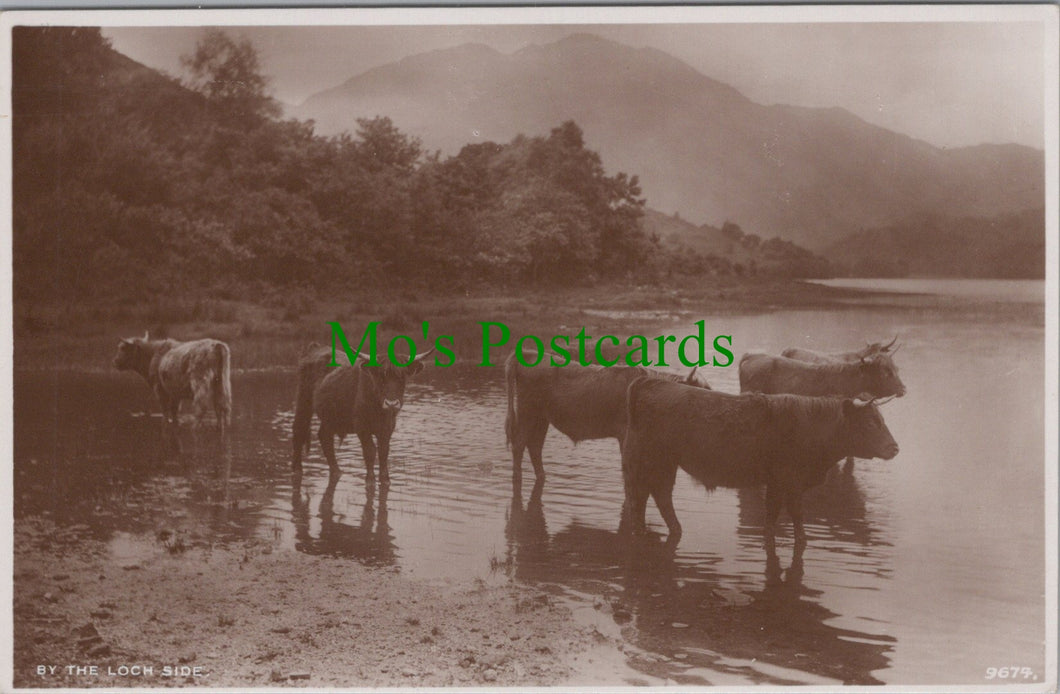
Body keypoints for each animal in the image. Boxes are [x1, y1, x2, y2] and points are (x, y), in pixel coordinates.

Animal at [504, 349, 712, 485]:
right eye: (698, 392)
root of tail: (528, 354)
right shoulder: (627, 435)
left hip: (541, 418)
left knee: (534, 446)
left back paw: (541, 477)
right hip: (528, 411)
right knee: (519, 444)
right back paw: (518, 478)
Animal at [619, 377, 894, 563]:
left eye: (882, 420)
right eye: (871, 422)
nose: (895, 447)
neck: (812, 425)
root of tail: (649, 381)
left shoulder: (776, 484)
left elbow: (772, 515)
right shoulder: (789, 482)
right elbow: (794, 514)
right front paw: (800, 541)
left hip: (665, 465)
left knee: (659, 496)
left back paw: (674, 529)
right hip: (647, 462)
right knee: (639, 498)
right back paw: (642, 532)